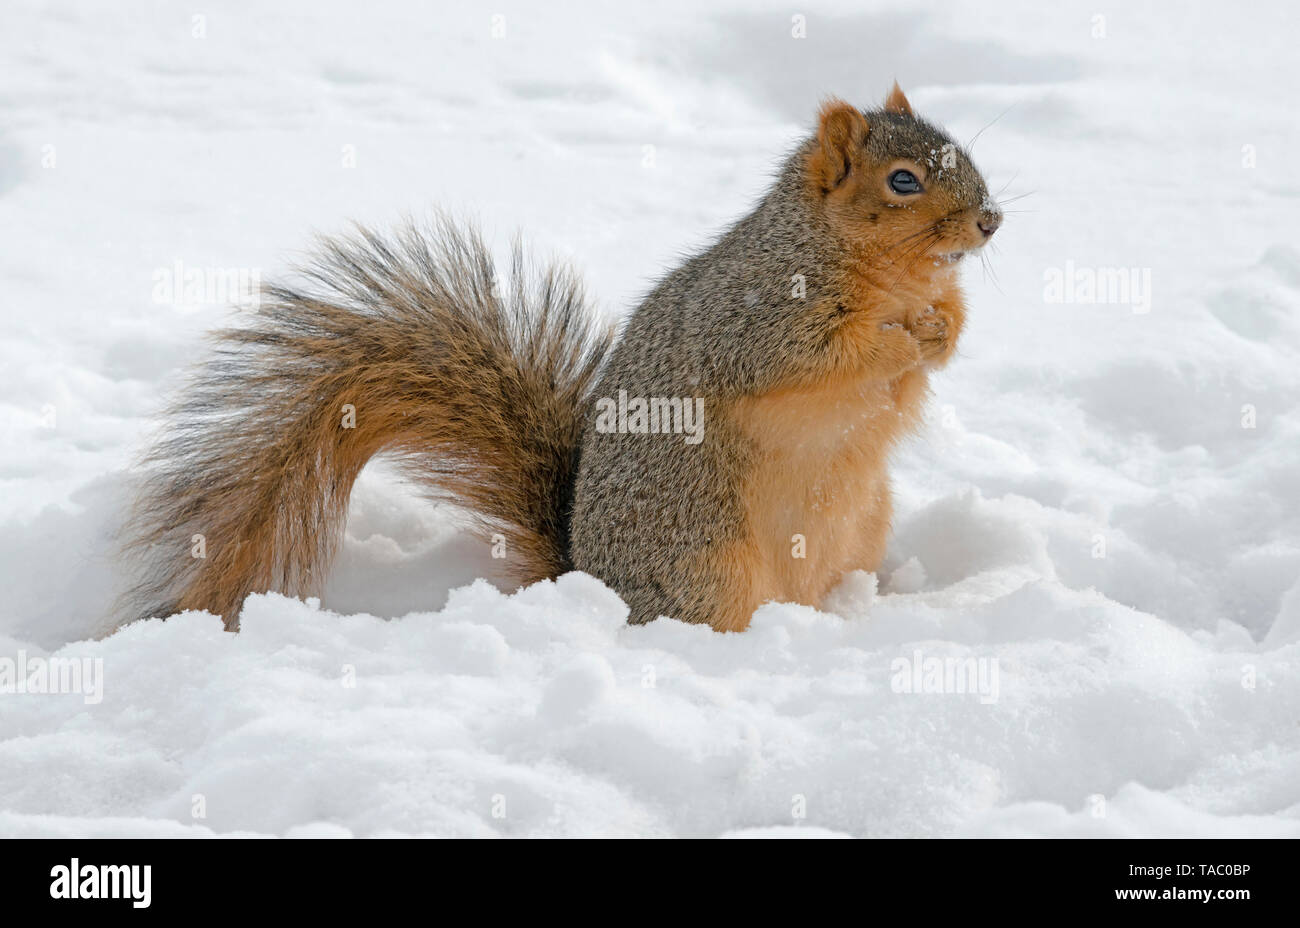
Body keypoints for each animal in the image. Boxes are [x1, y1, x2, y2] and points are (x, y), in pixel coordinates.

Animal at [122, 84, 1001, 633]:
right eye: (903, 180)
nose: (991, 221)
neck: (890, 273)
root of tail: (582, 576)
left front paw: (944, 328)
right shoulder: (754, 317)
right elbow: (813, 356)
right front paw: (902, 337)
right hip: (705, 558)